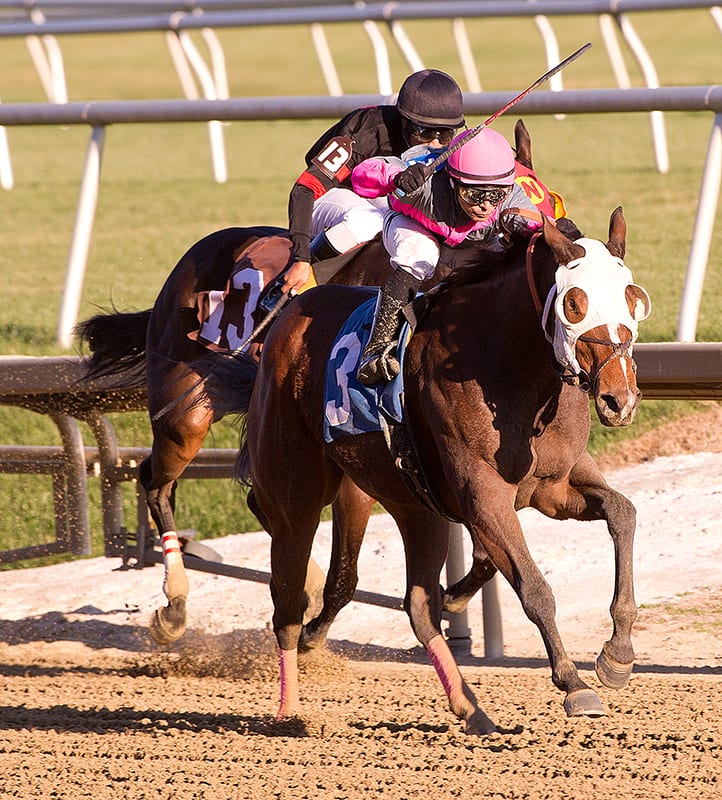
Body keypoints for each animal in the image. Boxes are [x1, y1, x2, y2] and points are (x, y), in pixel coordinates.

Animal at [229, 209, 648, 736]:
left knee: (419, 608)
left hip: (414, 506)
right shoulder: (484, 496)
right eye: (575, 303)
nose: (619, 398)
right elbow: (535, 587)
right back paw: (289, 708)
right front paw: (574, 683)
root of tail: (288, 317)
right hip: (297, 497)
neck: (508, 366)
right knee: (286, 601)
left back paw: (471, 708)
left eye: (633, 298)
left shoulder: (554, 486)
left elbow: (623, 512)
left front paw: (618, 655)